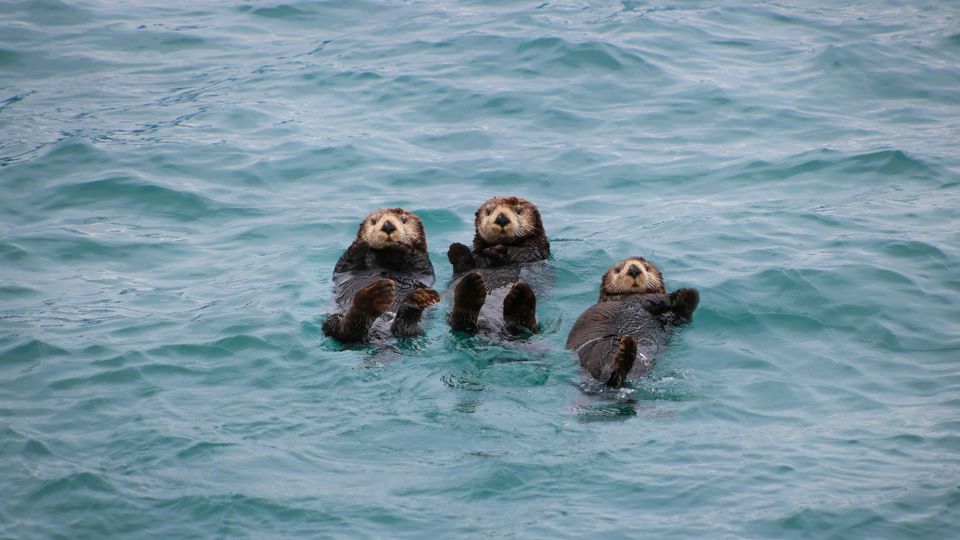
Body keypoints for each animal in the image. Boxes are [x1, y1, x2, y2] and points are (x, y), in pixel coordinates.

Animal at [322, 208, 440, 343]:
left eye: (404, 219)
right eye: (374, 221)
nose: (388, 226)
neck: (386, 258)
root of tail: (380, 333)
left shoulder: (423, 264)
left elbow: (417, 259)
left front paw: (401, 245)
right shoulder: (344, 267)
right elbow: (348, 261)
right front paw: (361, 243)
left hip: (416, 331)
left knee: (405, 329)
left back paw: (417, 300)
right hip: (332, 319)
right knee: (344, 332)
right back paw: (374, 297)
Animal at [446, 196, 551, 336]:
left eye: (518, 210)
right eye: (488, 211)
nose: (501, 218)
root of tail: (492, 327)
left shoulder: (535, 251)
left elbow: (522, 253)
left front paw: (497, 251)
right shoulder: (472, 263)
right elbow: (465, 265)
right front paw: (457, 249)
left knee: (528, 327)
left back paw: (520, 298)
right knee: (460, 323)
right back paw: (471, 287)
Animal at [566, 257, 699, 388]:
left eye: (647, 267)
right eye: (618, 269)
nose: (634, 269)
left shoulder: (670, 320)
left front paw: (686, 296)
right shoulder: (635, 299)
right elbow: (651, 299)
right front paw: (677, 295)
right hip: (597, 352)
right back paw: (626, 351)